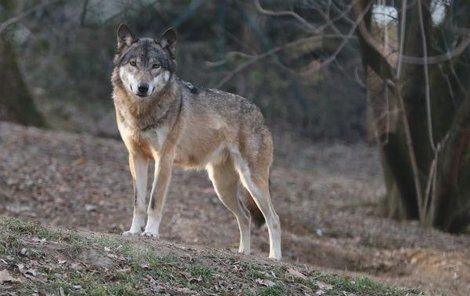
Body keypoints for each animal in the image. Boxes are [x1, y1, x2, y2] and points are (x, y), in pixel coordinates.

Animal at [112, 24, 280, 260]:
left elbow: (154, 200)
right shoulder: (136, 157)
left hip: (252, 182)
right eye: (133, 63)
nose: (142, 87)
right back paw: (243, 253)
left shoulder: (164, 159)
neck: (141, 113)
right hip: (221, 186)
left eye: (155, 66)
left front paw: (151, 233)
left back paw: (275, 257)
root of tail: (260, 113)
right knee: (245, 216)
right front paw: (134, 232)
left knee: (274, 218)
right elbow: (139, 202)